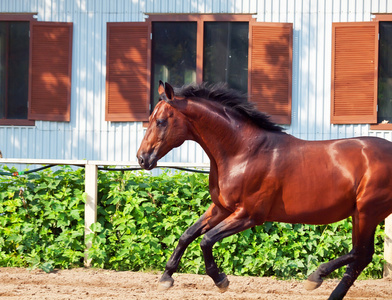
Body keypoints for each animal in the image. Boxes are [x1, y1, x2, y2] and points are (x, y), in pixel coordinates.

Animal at [136, 81, 392, 298]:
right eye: (150, 118)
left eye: (161, 121)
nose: (142, 158)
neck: (242, 152)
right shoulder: (221, 208)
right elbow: (187, 235)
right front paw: (166, 277)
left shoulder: (249, 215)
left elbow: (206, 240)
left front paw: (221, 280)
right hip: (361, 214)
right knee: (361, 256)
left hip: (367, 212)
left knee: (361, 253)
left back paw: (315, 278)